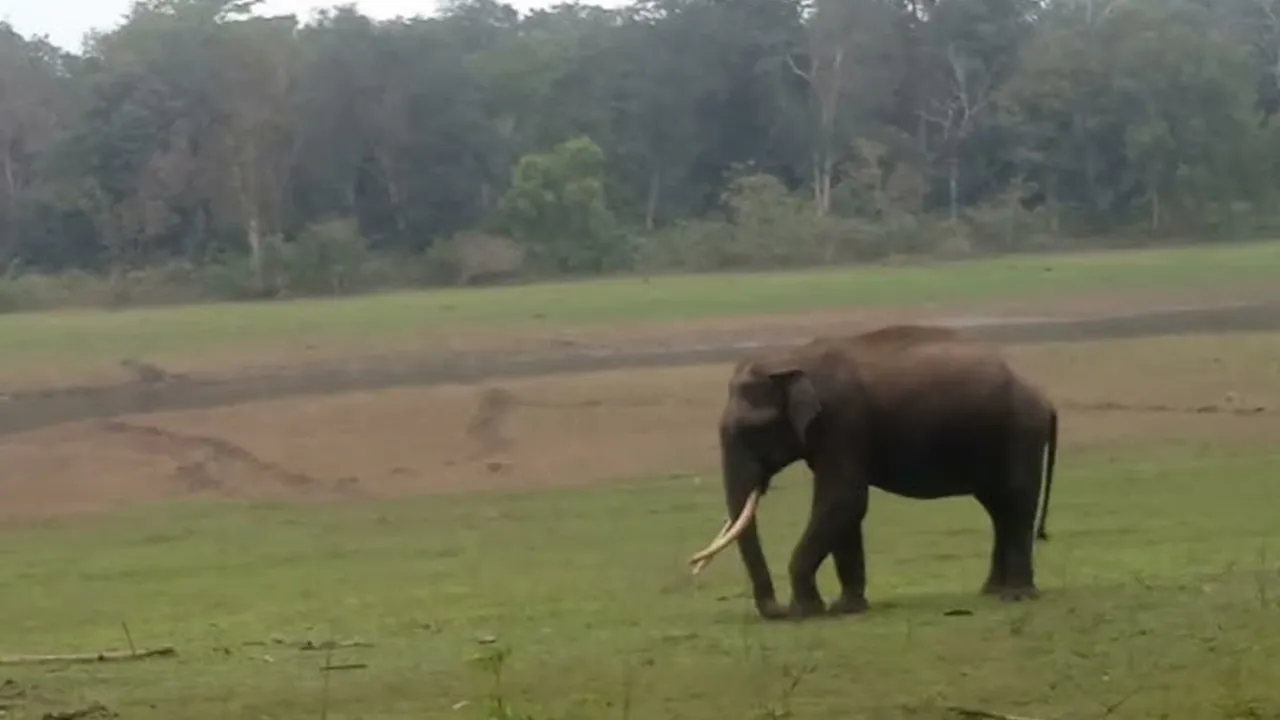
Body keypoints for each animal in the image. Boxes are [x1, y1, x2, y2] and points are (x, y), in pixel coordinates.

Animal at [686, 324, 1058, 621]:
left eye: (754, 430)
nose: (776, 610)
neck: (792, 359)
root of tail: (1043, 397)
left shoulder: (841, 420)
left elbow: (843, 499)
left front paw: (807, 611)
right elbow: (845, 509)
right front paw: (846, 607)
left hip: (1021, 432)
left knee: (1017, 501)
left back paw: (1017, 596)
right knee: (999, 508)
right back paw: (991, 591)